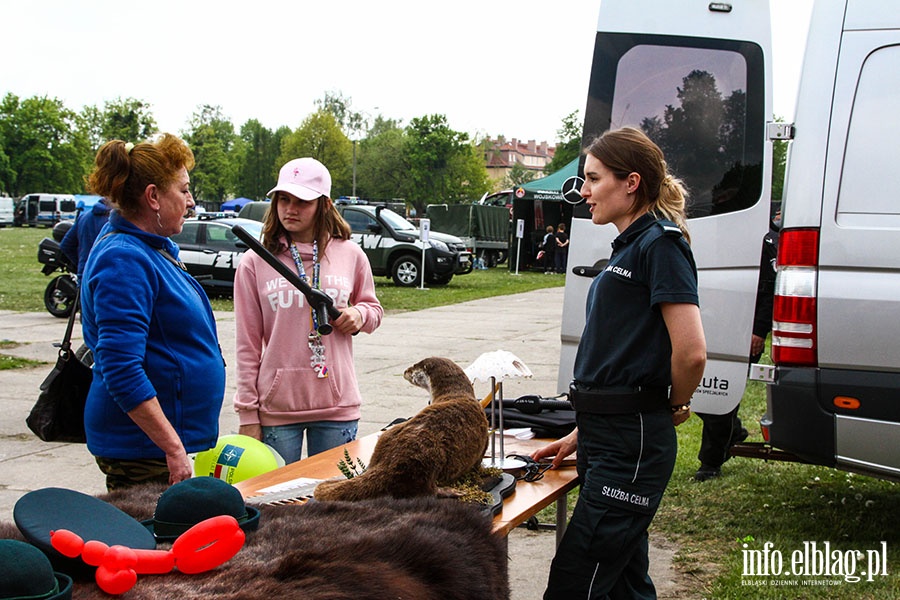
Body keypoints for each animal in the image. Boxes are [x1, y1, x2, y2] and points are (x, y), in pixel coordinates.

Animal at [312, 356, 488, 502]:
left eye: (414, 367)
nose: (405, 371)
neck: (457, 393)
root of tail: (389, 461)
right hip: (427, 456)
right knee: (425, 490)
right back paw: (450, 491)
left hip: (387, 438)